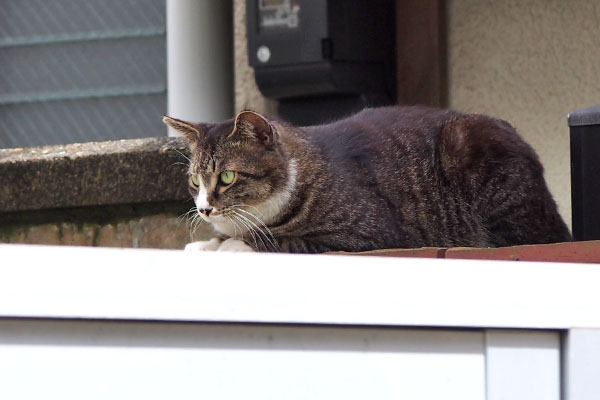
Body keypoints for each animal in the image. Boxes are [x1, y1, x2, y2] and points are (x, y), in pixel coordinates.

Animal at [164, 106, 572, 253]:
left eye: (227, 176)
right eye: (195, 181)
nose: (204, 209)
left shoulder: (366, 231)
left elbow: (281, 240)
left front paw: (234, 245)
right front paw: (207, 243)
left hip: (470, 145)